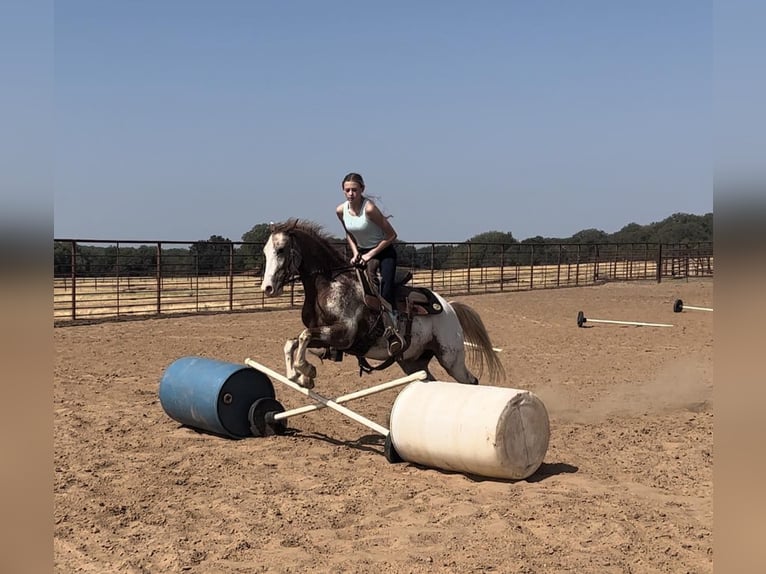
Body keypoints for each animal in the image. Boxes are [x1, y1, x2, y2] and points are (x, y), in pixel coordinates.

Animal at [260, 220, 508, 392]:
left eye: (281, 250)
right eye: (264, 252)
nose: (268, 288)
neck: (329, 283)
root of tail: (449, 308)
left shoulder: (344, 334)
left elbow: (303, 337)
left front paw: (306, 371)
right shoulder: (326, 339)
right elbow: (293, 342)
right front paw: (300, 376)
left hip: (451, 358)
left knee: (471, 381)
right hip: (414, 362)